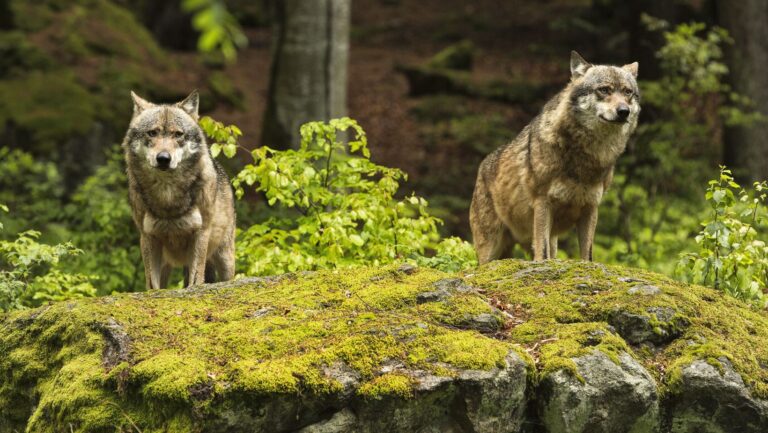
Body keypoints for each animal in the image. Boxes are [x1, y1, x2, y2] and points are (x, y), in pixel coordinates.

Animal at [123, 90, 236, 286]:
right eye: (152, 133)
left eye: (178, 134)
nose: (163, 158)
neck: (167, 195)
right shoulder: (147, 237)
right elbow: (153, 286)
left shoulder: (201, 233)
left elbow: (196, 280)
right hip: (166, 264)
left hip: (225, 259)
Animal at [472, 50, 640, 260]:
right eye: (604, 90)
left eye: (627, 92)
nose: (624, 111)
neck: (586, 157)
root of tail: (481, 166)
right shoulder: (543, 203)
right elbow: (542, 255)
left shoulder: (591, 208)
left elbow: (587, 256)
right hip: (491, 250)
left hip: (548, 241)